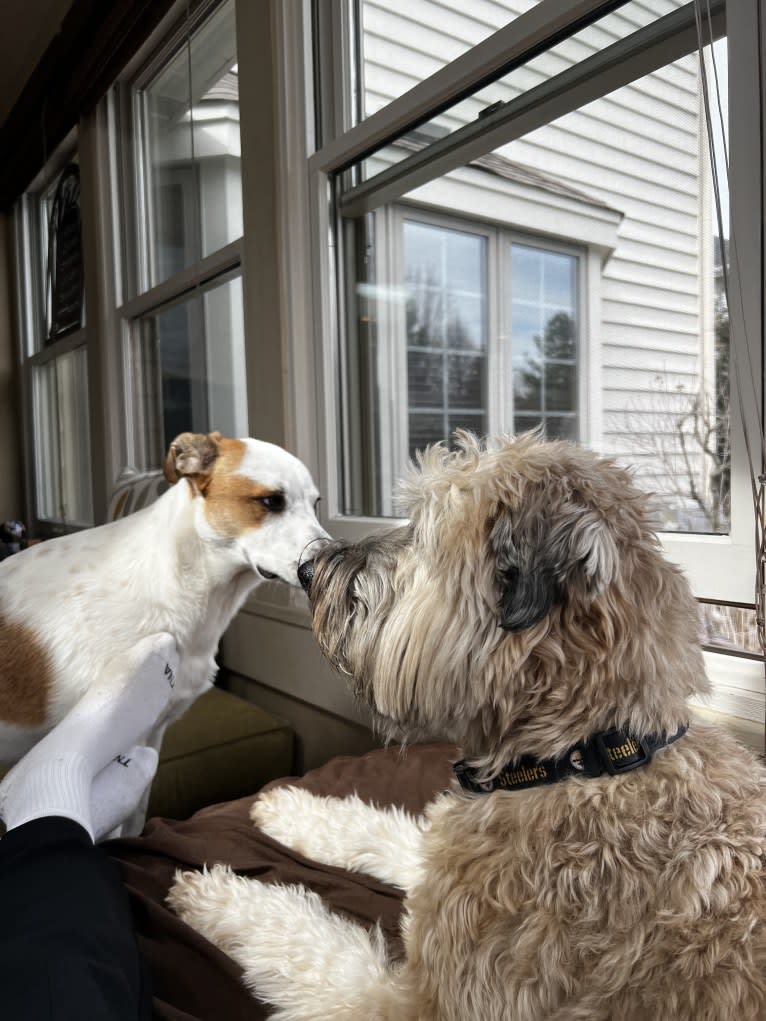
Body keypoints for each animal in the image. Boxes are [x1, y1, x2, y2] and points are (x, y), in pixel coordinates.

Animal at [169, 432, 766, 1021]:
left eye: (422, 534)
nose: (308, 570)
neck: (580, 756)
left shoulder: (428, 1001)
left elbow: (312, 946)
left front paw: (222, 895)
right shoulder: (446, 863)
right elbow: (388, 831)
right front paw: (292, 809)